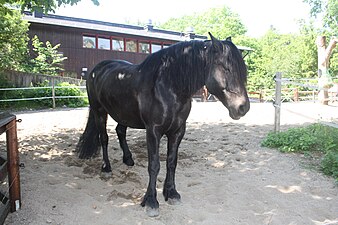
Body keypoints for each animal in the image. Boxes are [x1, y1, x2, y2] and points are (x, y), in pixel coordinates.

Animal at [78, 33, 250, 216]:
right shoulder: (153, 132)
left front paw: (171, 193)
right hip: (99, 111)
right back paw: (106, 168)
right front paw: (151, 201)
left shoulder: (177, 131)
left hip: (123, 114)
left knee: (120, 131)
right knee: (103, 138)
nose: (243, 107)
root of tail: (96, 69)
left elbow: (171, 162)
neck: (168, 87)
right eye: (226, 68)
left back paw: (128, 159)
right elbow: (154, 165)